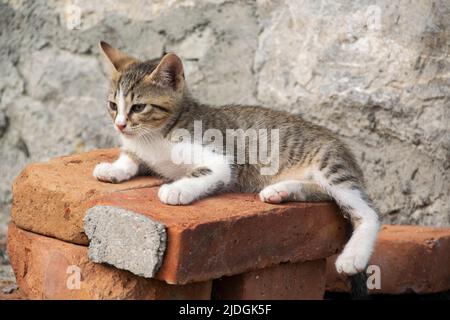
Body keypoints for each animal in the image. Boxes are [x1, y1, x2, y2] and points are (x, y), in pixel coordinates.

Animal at [95, 40, 380, 276]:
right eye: (113, 106)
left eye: (138, 107)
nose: (120, 125)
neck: (153, 137)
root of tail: (342, 144)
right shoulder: (139, 148)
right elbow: (130, 157)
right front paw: (113, 169)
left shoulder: (221, 158)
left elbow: (204, 172)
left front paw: (176, 189)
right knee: (322, 192)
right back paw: (280, 191)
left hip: (330, 165)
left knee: (368, 212)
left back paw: (352, 257)